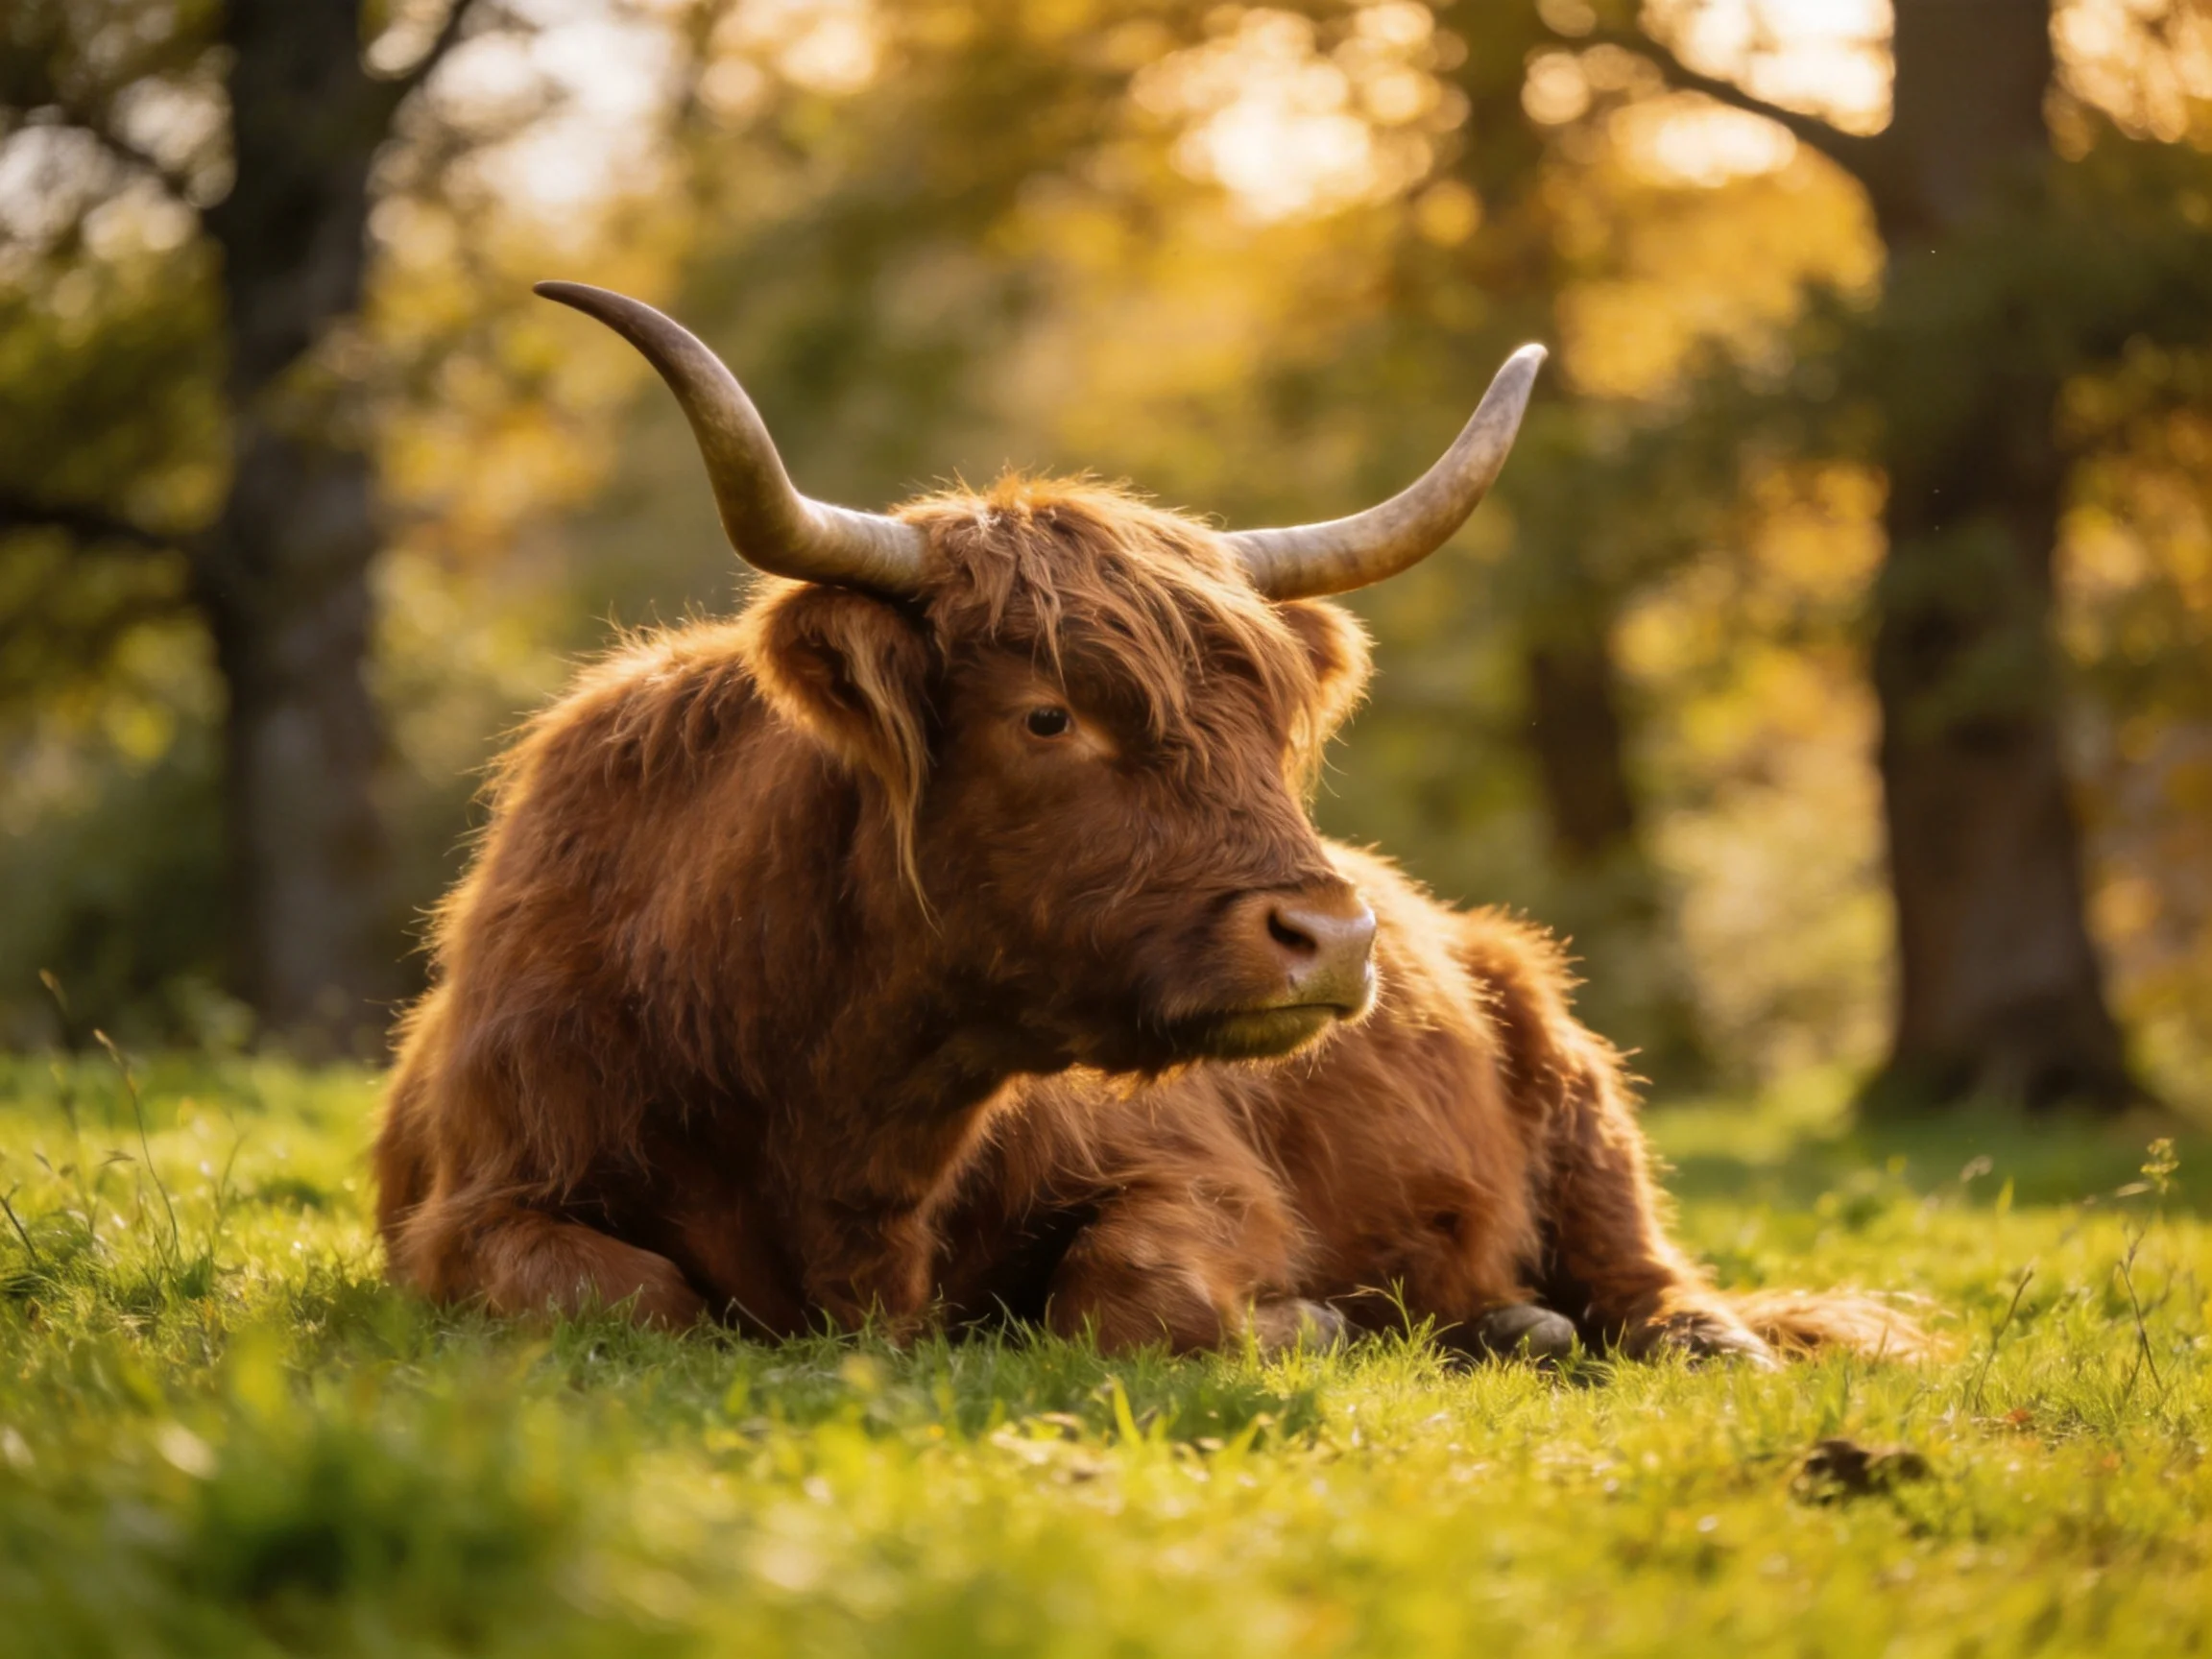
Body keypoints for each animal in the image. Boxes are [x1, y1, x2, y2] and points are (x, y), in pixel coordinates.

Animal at [373, 280, 1545, 1344]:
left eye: (1272, 726)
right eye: (1046, 717)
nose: (1334, 937)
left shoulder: (1195, 1173)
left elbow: (1127, 1293)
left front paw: (1306, 1321)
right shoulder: (475, 1206)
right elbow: (629, 1295)